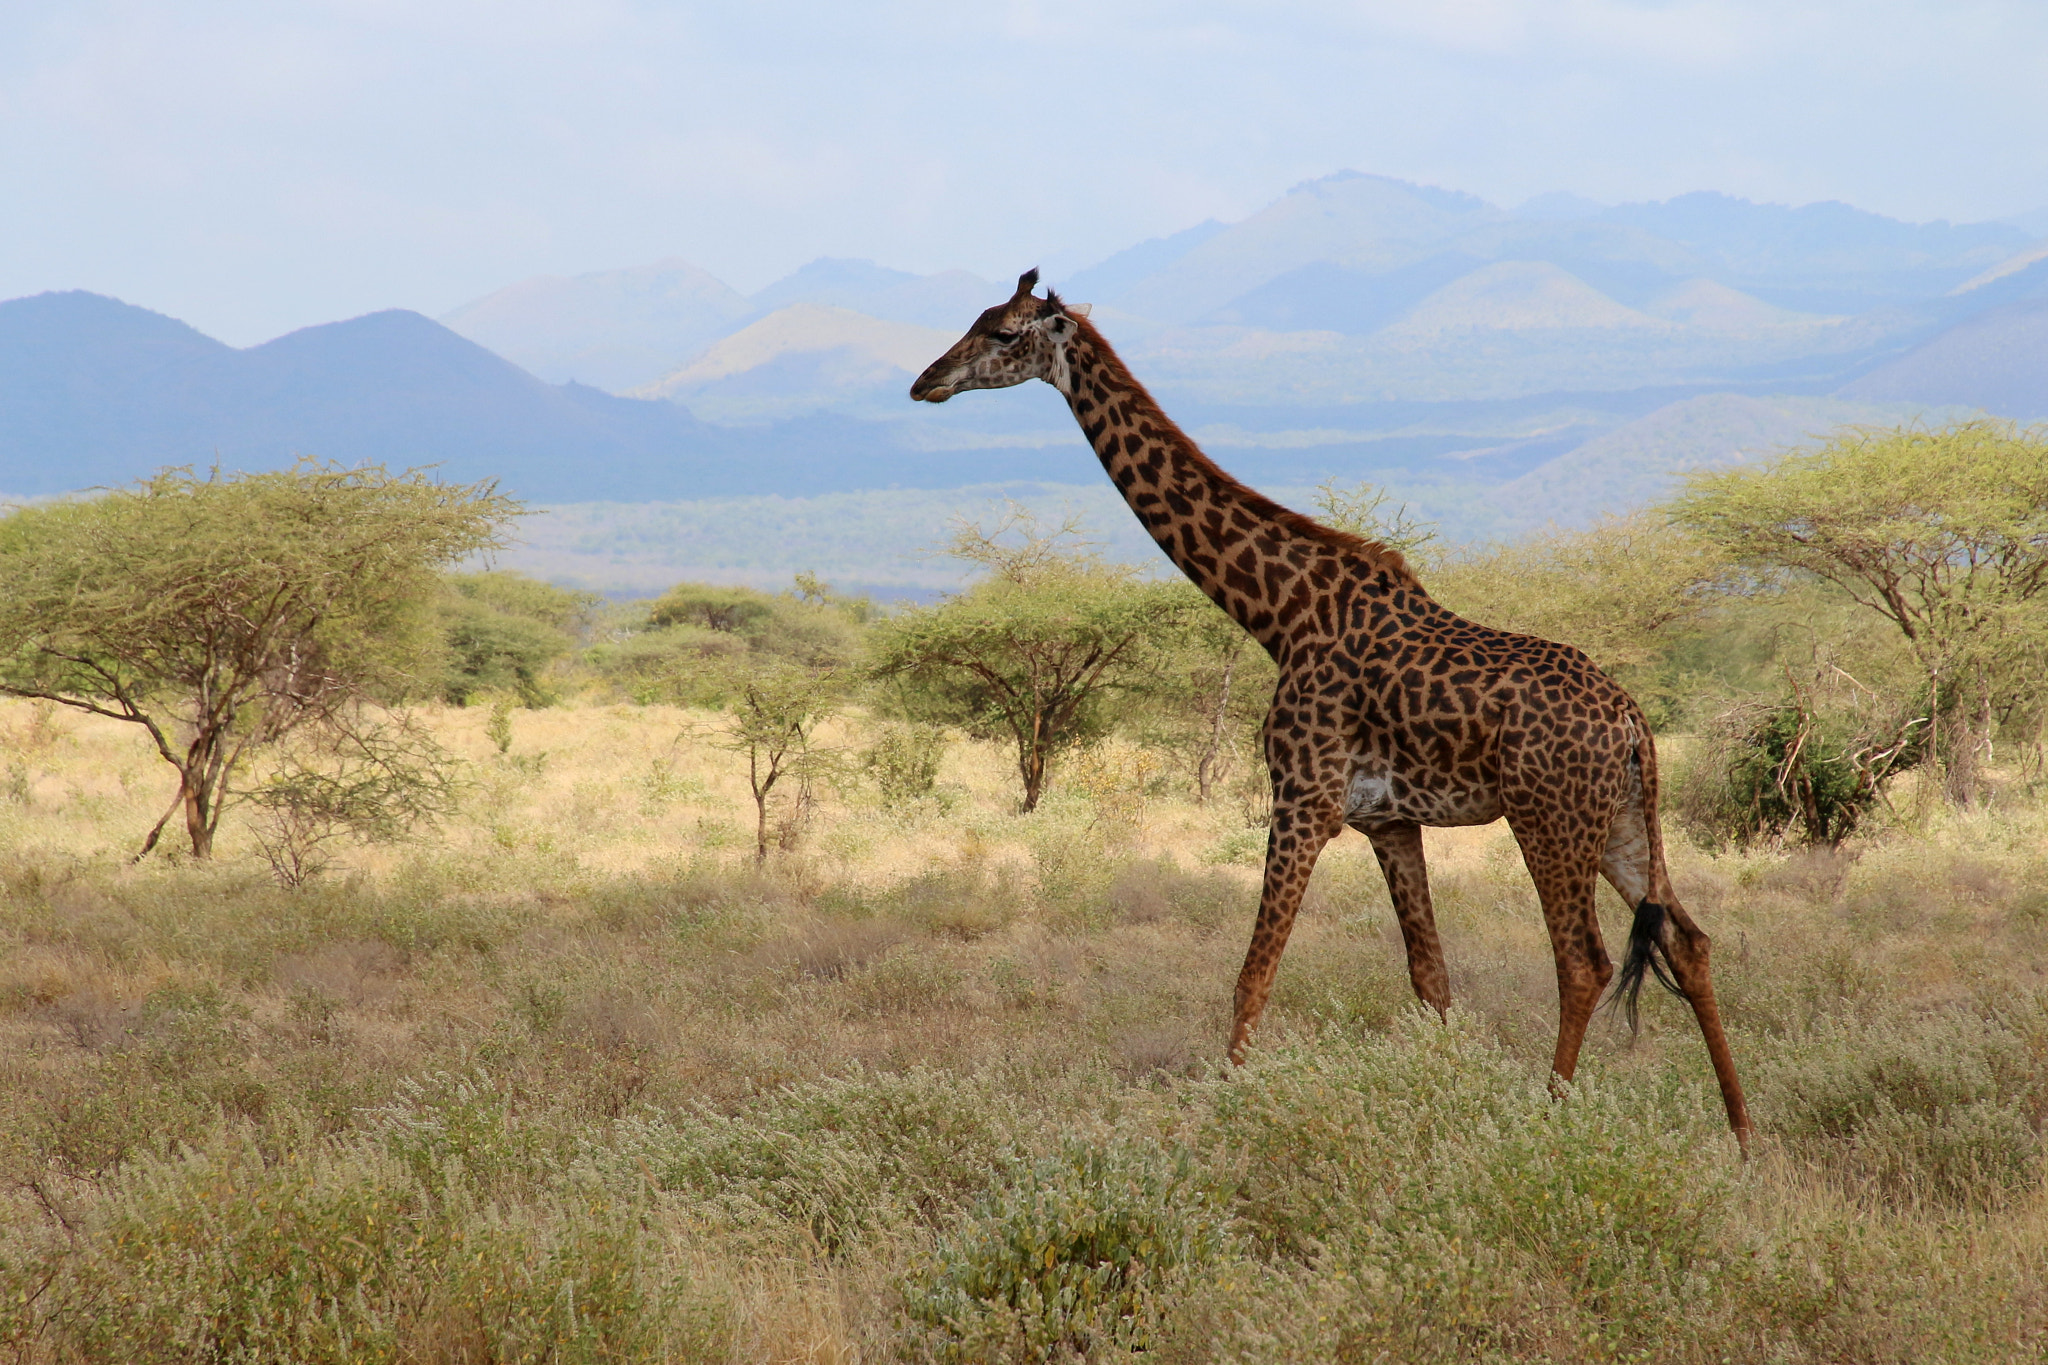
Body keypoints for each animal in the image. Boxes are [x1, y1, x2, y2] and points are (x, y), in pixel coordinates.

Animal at [911, 270, 1752, 1150]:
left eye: (1004, 332)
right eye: (976, 319)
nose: (924, 381)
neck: (1279, 611)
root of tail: (1632, 724)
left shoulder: (1302, 800)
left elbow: (1252, 974)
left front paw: (1224, 1116)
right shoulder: (1390, 820)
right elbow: (1431, 979)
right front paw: (1443, 1106)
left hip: (1548, 818)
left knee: (1584, 960)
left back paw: (1552, 1120)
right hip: (1621, 820)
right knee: (1688, 940)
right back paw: (1740, 1134)